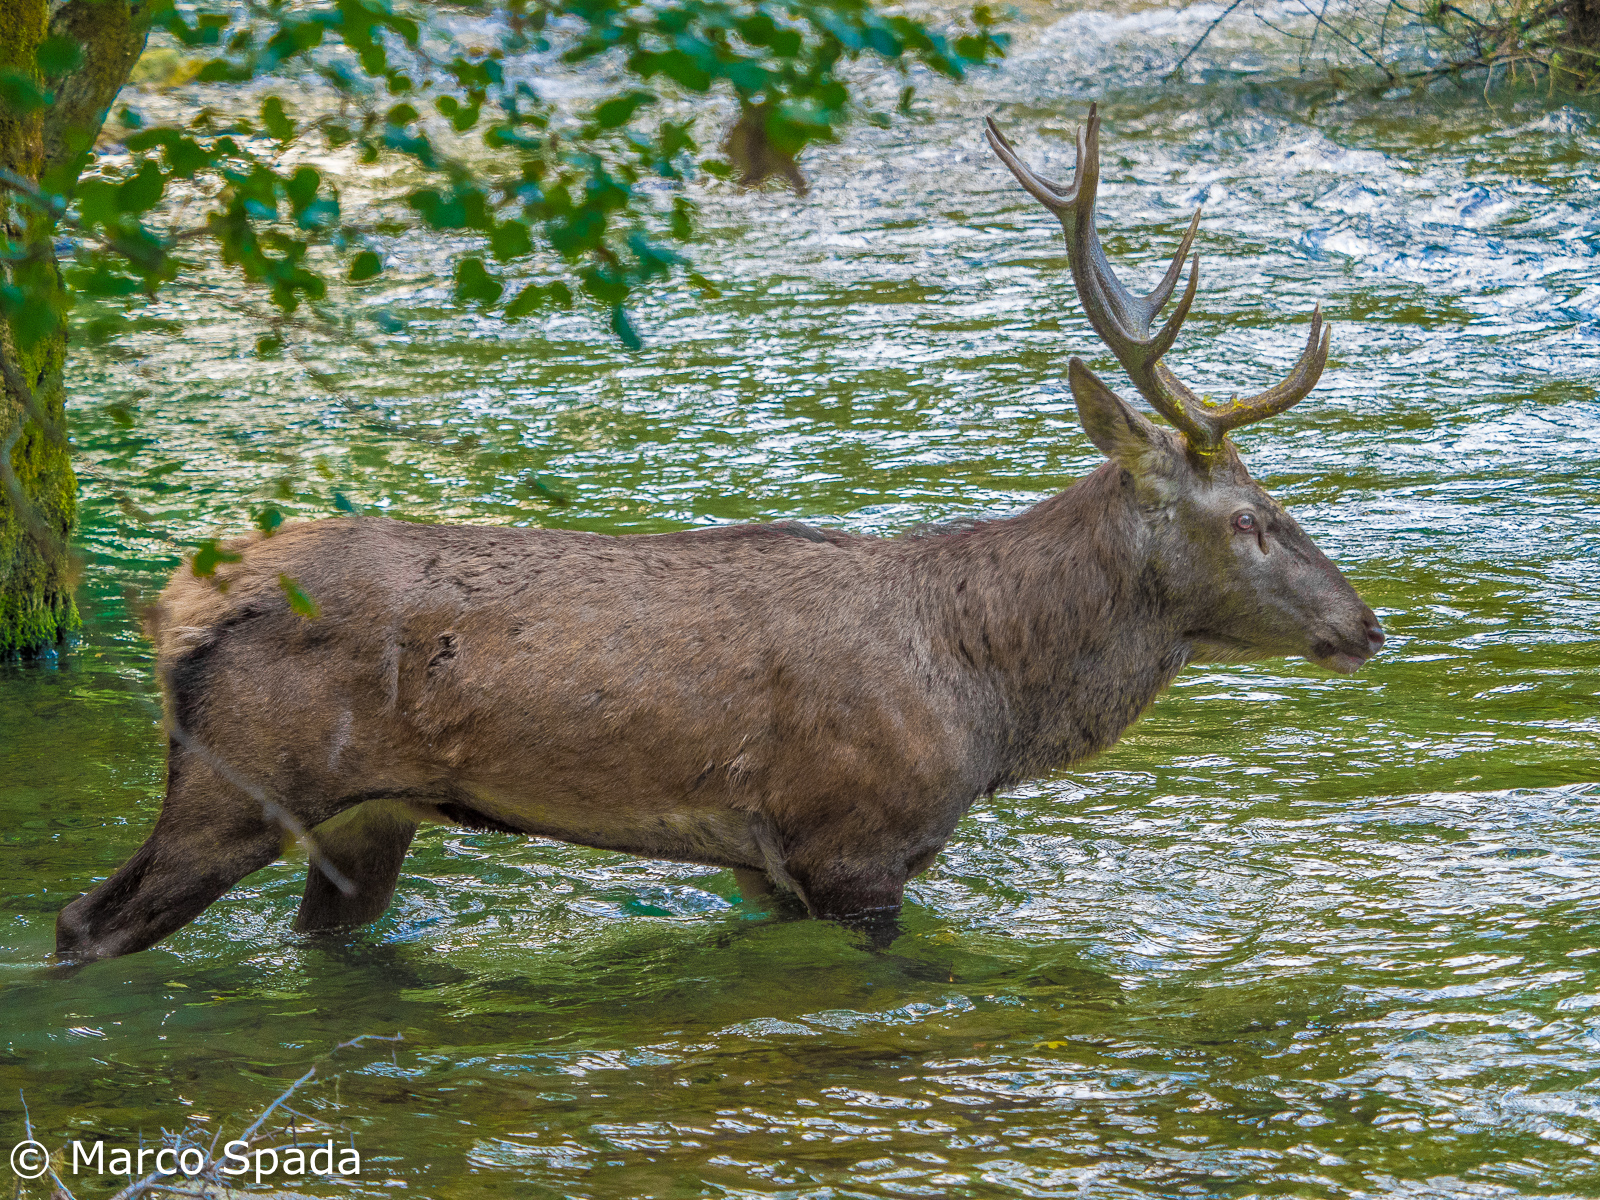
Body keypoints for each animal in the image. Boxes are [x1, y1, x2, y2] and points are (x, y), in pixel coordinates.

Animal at [54, 105, 1384, 964]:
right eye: (1253, 519)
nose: (1365, 627)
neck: (987, 692)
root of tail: (173, 604)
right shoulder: (853, 843)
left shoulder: (765, 865)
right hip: (238, 782)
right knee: (82, 924)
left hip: (363, 818)